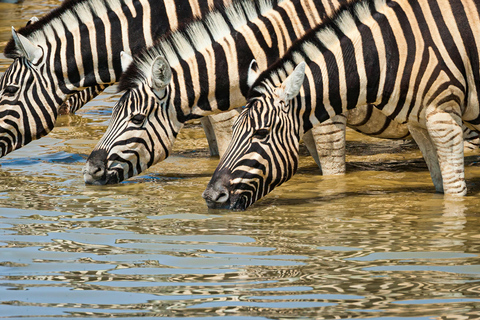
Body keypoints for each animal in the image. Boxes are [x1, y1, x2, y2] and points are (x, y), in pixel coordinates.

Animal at [204, 0, 480, 210]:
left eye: (262, 133)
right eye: (235, 129)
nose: (210, 197)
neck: (389, 53)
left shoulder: (443, 119)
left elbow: (454, 193)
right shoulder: (419, 124)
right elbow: (440, 184)